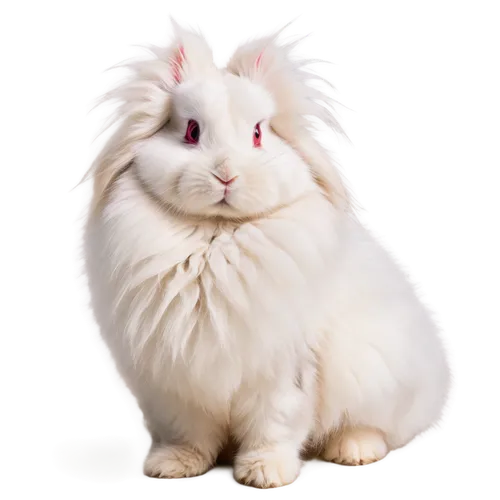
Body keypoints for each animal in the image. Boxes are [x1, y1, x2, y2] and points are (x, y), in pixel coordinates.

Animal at [73, 13, 458, 490]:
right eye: (191, 130)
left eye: (258, 133)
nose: (225, 174)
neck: (217, 236)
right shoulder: (180, 383)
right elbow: (192, 433)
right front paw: (175, 465)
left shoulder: (283, 375)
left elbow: (275, 426)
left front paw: (266, 474)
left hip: (378, 374)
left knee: (374, 427)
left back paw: (354, 451)